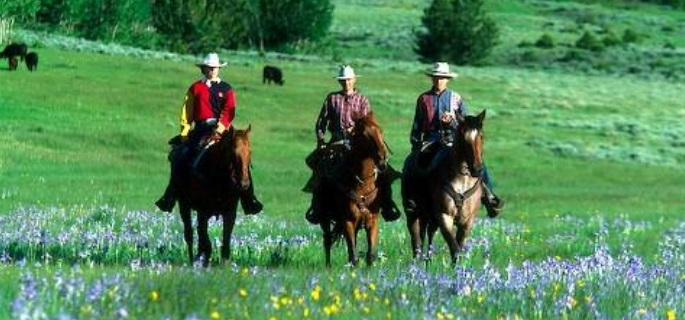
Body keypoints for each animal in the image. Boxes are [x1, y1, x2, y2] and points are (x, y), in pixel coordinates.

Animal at [176, 125, 251, 268]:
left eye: (250, 153)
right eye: (234, 153)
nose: (244, 184)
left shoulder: (230, 212)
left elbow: (225, 243)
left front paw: (225, 265)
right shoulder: (203, 211)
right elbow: (207, 243)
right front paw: (203, 264)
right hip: (184, 206)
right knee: (190, 235)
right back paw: (193, 261)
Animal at [318, 112, 388, 268]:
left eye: (380, 130)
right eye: (365, 134)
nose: (382, 157)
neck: (362, 183)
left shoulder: (372, 220)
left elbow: (370, 255)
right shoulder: (347, 221)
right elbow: (353, 255)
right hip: (325, 218)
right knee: (327, 240)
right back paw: (328, 266)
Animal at [404, 110, 488, 264]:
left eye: (481, 136)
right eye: (462, 137)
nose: (477, 170)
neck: (462, 180)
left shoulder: (467, 221)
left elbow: (459, 246)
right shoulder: (444, 217)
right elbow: (454, 249)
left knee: (429, 234)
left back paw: (428, 260)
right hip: (413, 213)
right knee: (416, 240)